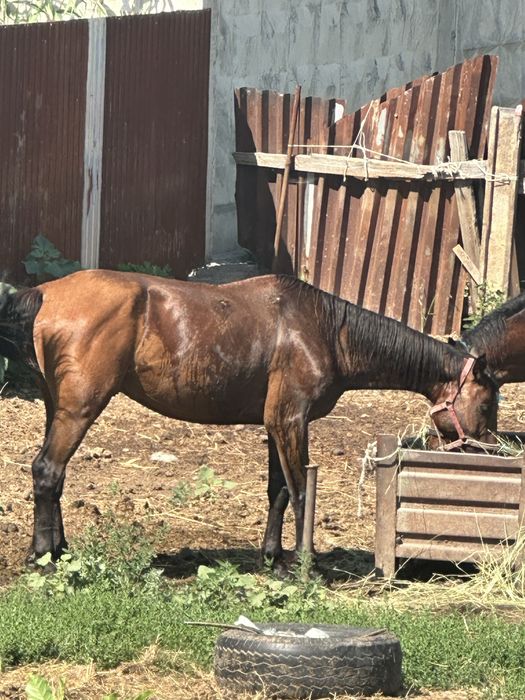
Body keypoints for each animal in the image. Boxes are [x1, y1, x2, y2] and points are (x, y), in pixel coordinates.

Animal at [0, 270, 498, 571]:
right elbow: (300, 491)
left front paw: (273, 556)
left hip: (58, 408)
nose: (490, 450)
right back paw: (42, 554)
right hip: (80, 408)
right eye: (488, 404)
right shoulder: (290, 420)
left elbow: (277, 491)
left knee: (55, 476)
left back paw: (60, 548)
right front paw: (304, 563)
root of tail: (46, 293)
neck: (324, 329)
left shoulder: (274, 425)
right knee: (47, 470)